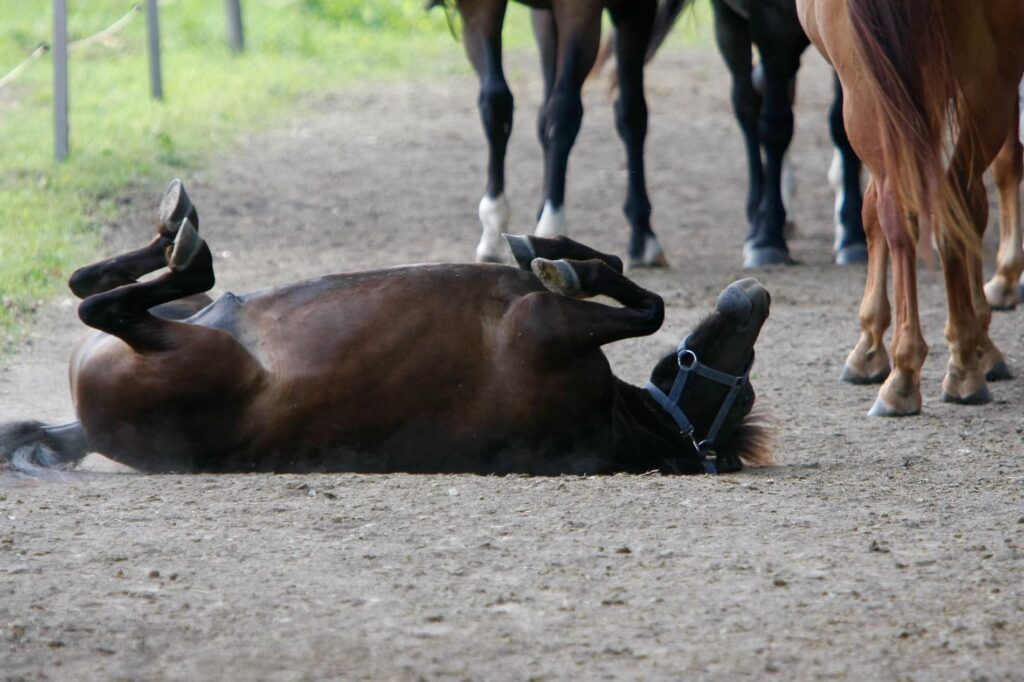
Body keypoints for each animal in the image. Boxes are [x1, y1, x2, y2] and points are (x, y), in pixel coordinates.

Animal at [0, 179, 770, 473]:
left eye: (744, 385)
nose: (752, 298)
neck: (609, 419)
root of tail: (91, 426)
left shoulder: (544, 327)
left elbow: (648, 307)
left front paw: (560, 265)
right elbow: (616, 271)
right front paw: (544, 247)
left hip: (184, 346)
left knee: (107, 303)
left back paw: (183, 240)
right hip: (187, 318)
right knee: (99, 288)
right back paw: (173, 227)